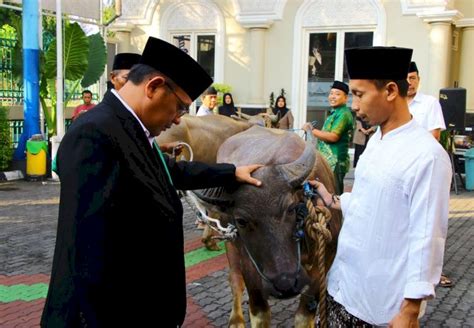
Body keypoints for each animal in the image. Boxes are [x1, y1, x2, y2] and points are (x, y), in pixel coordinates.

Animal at [193, 126, 340, 328]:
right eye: (241, 220)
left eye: (291, 208)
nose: (285, 283)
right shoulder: (250, 265)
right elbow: (259, 312)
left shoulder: (324, 262)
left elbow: (304, 316)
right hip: (231, 245)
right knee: (235, 280)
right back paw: (236, 320)